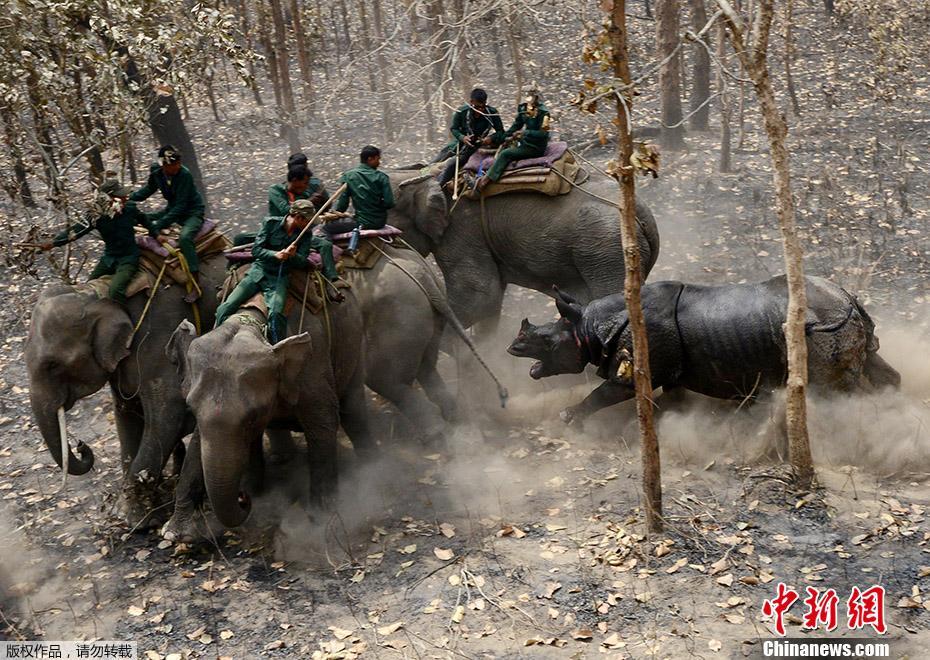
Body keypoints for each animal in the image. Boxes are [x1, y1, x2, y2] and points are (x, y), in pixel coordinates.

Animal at [24, 254, 227, 524]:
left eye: (53, 365)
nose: (81, 445)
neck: (97, 293)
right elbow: (126, 414)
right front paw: (131, 513)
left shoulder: (160, 336)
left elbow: (169, 413)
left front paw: (132, 521)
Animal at [165, 286, 372, 532]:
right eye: (190, 408)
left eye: (253, 417)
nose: (243, 498)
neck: (251, 321)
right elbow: (198, 440)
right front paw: (176, 531)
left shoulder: (312, 366)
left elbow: (324, 421)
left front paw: (322, 519)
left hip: (354, 339)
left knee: (353, 409)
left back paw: (373, 466)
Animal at [508, 276, 900, 430]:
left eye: (548, 342)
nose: (513, 347)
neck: (588, 327)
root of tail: (848, 299)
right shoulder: (671, 370)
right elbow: (672, 400)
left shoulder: (637, 367)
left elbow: (606, 393)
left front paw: (567, 418)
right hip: (843, 321)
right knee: (874, 366)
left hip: (822, 329)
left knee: (832, 391)